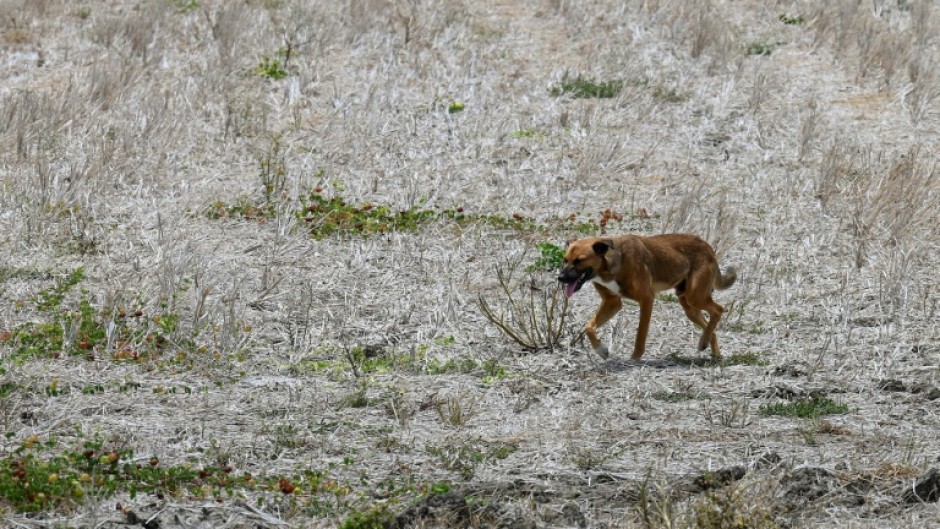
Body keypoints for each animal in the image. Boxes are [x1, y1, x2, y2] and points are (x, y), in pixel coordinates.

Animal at [556, 234, 740, 358]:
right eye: (565, 259)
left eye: (579, 260)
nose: (560, 278)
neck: (609, 265)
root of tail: (708, 248)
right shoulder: (612, 303)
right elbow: (589, 327)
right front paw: (601, 350)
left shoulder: (646, 300)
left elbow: (640, 334)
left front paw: (634, 358)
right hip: (689, 305)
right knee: (710, 325)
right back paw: (711, 350)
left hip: (695, 296)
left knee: (718, 310)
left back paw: (704, 342)